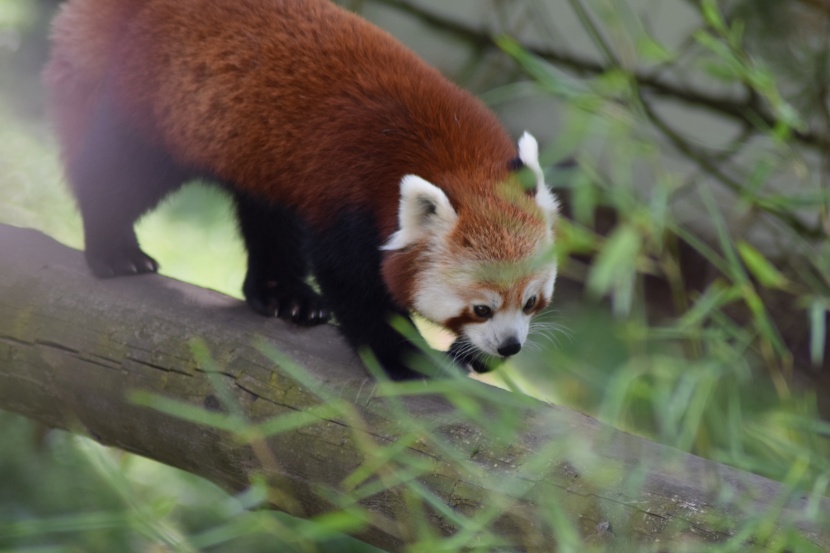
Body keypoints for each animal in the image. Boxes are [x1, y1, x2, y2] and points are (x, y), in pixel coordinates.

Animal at [47, 0, 564, 378]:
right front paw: (408, 360)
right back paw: (114, 250)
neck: (450, 154)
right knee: (120, 174)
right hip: (163, 107)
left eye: (531, 302)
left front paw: (470, 355)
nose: (511, 346)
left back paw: (282, 294)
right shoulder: (349, 196)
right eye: (480, 308)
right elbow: (353, 284)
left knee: (268, 218)